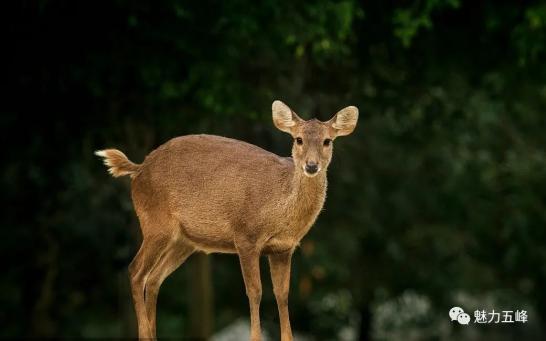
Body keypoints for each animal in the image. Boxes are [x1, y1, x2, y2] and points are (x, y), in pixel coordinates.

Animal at [94, 101, 356, 340]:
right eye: (298, 139)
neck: (278, 207)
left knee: (154, 278)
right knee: (135, 271)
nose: (311, 165)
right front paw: (255, 337)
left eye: (327, 141)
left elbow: (282, 294)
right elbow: (255, 291)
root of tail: (138, 169)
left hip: (183, 241)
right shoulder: (246, 235)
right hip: (155, 224)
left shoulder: (284, 248)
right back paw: (145, 334)